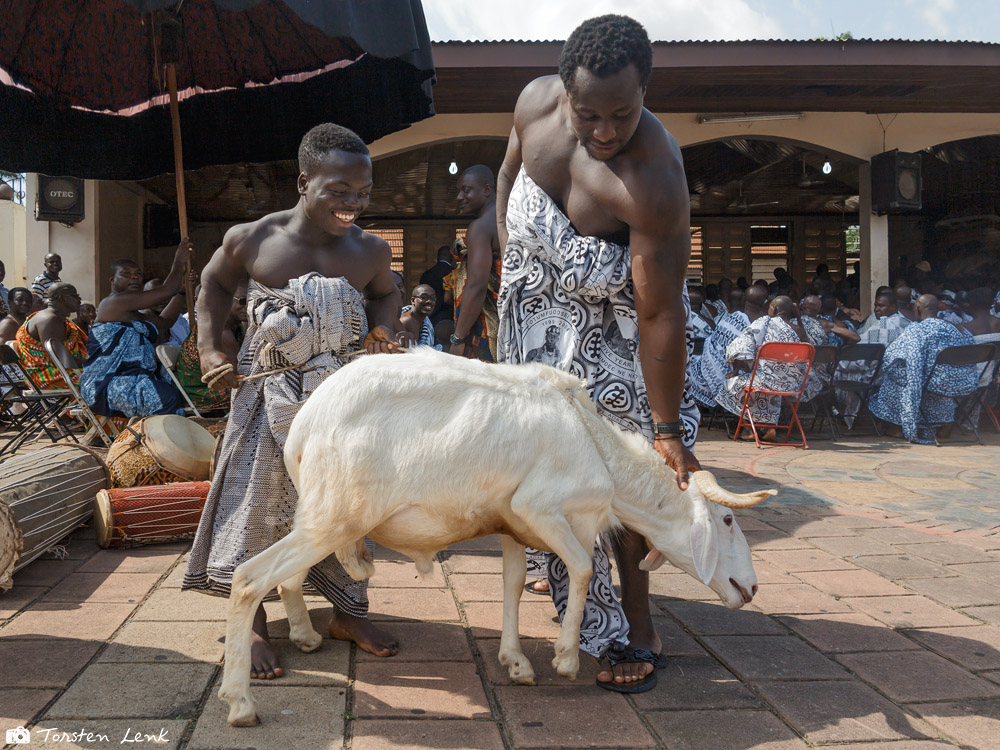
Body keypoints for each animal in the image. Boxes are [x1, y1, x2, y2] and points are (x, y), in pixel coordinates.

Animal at [223, 352, 776, 728]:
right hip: (336, 516)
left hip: (323, 516)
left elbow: (510, 586)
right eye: (728, 521)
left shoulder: (514, 525)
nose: (750, 588)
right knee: (249, 579)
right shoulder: (542, 508)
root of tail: (302, 426)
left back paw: (305, 637)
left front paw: (516, 663)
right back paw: (240, 702)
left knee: (287, 576)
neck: (598, 452)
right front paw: (565, 658)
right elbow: (581, 568)